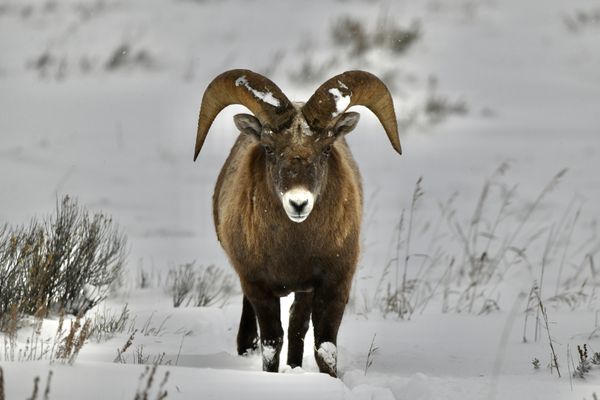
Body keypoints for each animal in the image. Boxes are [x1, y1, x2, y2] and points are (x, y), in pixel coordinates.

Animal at [195, 69, 400, 376]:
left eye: (326, 148)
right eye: (268, 148)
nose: (299, 203)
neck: (294, 250)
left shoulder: (332, 285)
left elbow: (323, 347)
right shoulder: (258, 287)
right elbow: (272, 343)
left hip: (303, 293)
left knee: (297, 327)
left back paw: (294, 368)